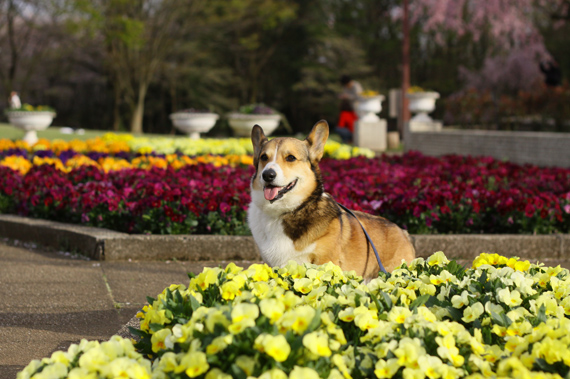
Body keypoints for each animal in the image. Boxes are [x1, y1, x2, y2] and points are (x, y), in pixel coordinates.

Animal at [246, 120, 414, 280]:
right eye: (263, 157)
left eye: (291, 158)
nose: (267, 175)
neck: (283, 211)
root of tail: (403, 232)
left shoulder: (325, 261)